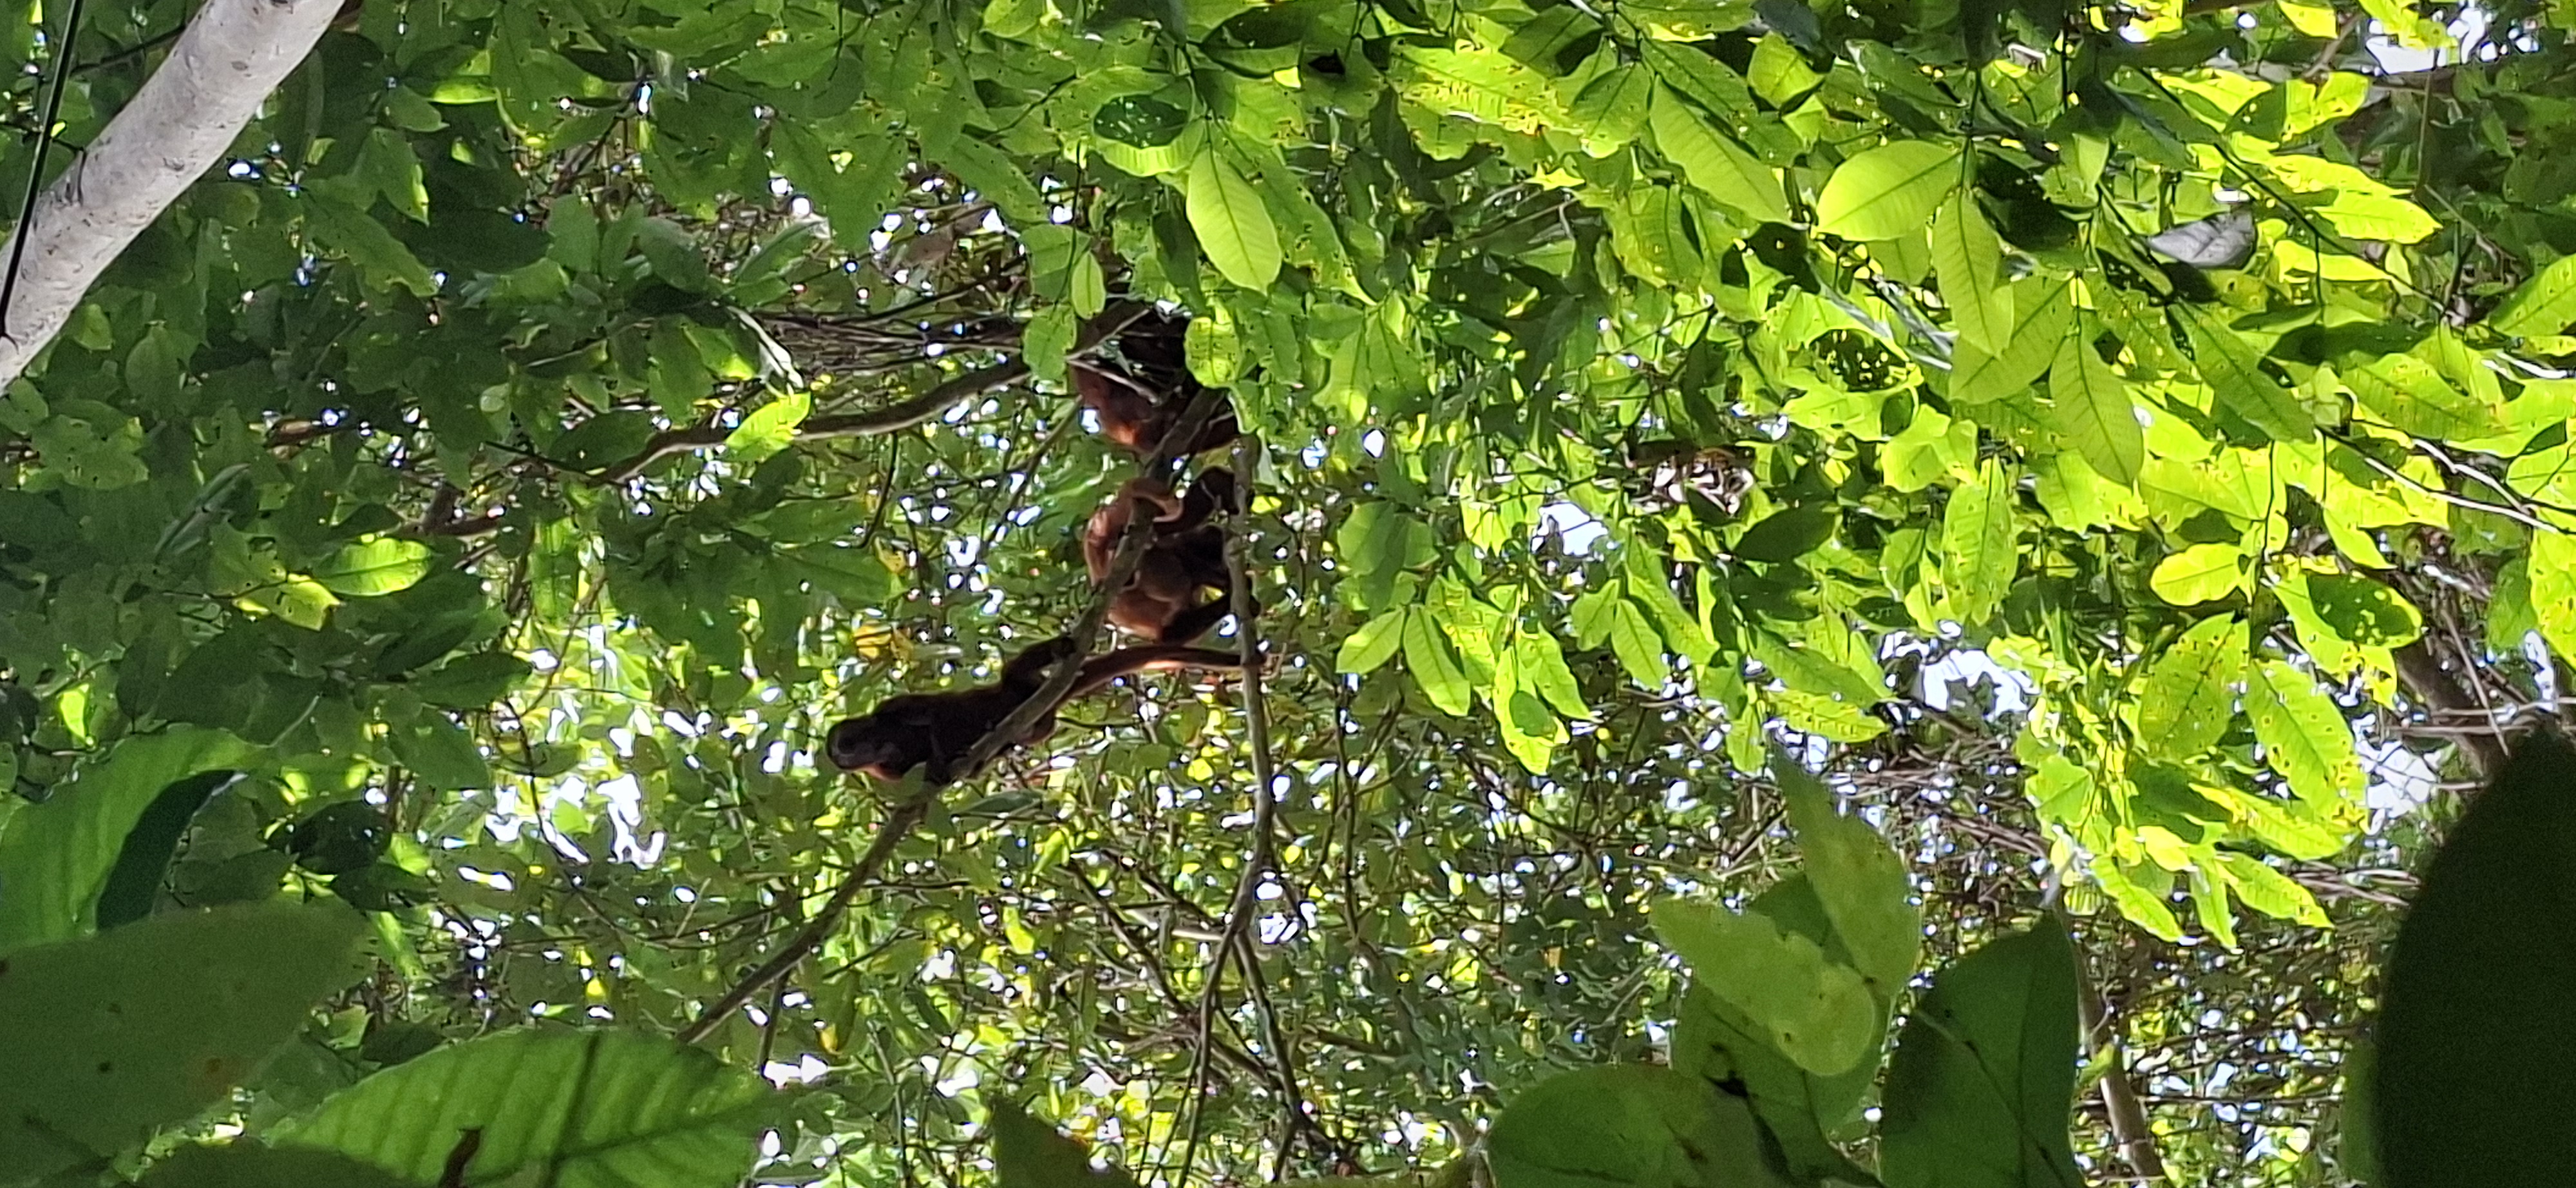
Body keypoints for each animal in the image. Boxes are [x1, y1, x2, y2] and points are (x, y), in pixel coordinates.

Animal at [822, 637, 1243, 786]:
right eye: (841, 752)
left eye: (846, 741)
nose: (845, 752)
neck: (884, 740)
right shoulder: (886, 771)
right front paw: (947, 769)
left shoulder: (891, 708)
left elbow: (935, 716)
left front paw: (942, 761)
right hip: (1039, 721)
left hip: (1020, 687)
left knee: (1016, 671)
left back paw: (1059, 649)